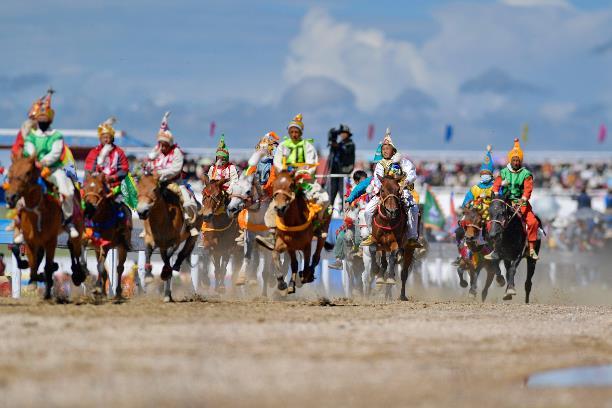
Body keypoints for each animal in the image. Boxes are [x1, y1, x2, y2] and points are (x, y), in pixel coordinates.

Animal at [4, 155, 88, 298]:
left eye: (28, 172)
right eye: (10, 172)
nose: (11, 197)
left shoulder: (51, 239)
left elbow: (47, 265)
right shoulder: (30, 239)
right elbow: (31, 263)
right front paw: (34, 277)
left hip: (76, 227)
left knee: (74, 248)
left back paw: (78, 274)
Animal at [82, 172, 133, 300]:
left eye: (101, 191)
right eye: (85, 188)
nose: (89, 208)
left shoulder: (105, 245)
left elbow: (100, 267)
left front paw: (96, 288)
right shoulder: (86, 241)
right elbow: (86, 263)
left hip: (122, 247)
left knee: (119, 268)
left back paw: (118, 293)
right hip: (97, 249)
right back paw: (104, 293)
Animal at [136, 172, 203, 302]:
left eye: (154, 189)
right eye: (138, 189)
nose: (141, 212)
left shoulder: (174, 241)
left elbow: (169, 255)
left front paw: (165, 273)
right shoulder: (150, 238)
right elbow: (148, 251)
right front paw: (148, 276)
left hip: (192, 235)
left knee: (183, 252)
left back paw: (175, 267)